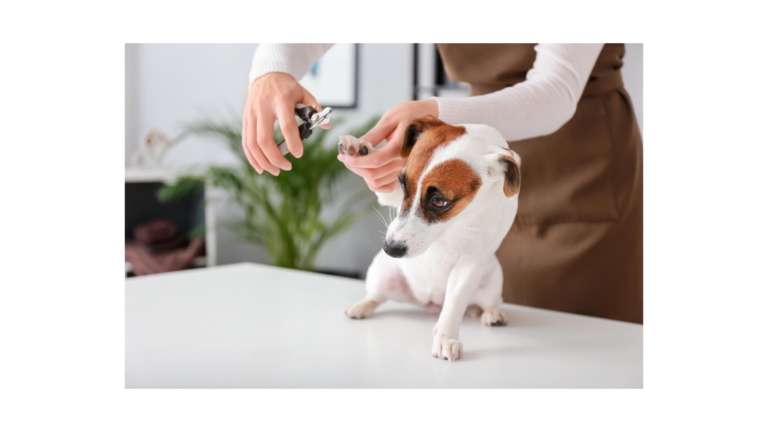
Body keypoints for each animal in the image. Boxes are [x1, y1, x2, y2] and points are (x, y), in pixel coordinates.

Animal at [338, 117, 520, 362]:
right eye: (402, 183)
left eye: (439, 201)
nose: (390, 249)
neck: (458, 219)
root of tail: (431, 304)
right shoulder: (389, 194)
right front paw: (358, 147)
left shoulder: (471, 264)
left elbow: (455, 303)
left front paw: (446, 338)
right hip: (381, 275)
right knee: (376, 296)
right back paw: (362, 306)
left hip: (492, 281)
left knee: (490, 302)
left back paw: (492, 313)